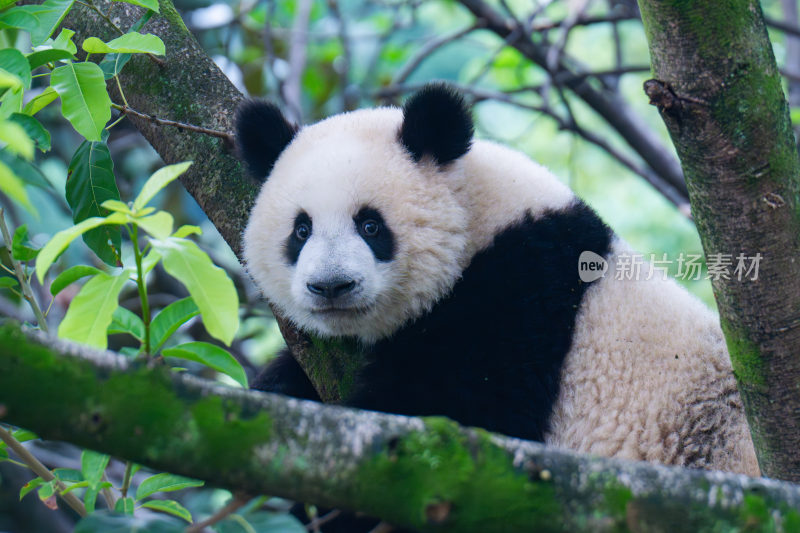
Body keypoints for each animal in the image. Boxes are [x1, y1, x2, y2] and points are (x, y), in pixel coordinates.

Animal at [234, 83, 760, 478]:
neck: (479, 216)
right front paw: (279, 389)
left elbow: (455, 418)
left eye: (370, 226)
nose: (331, 286)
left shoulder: (519, 294)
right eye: (301, 230)